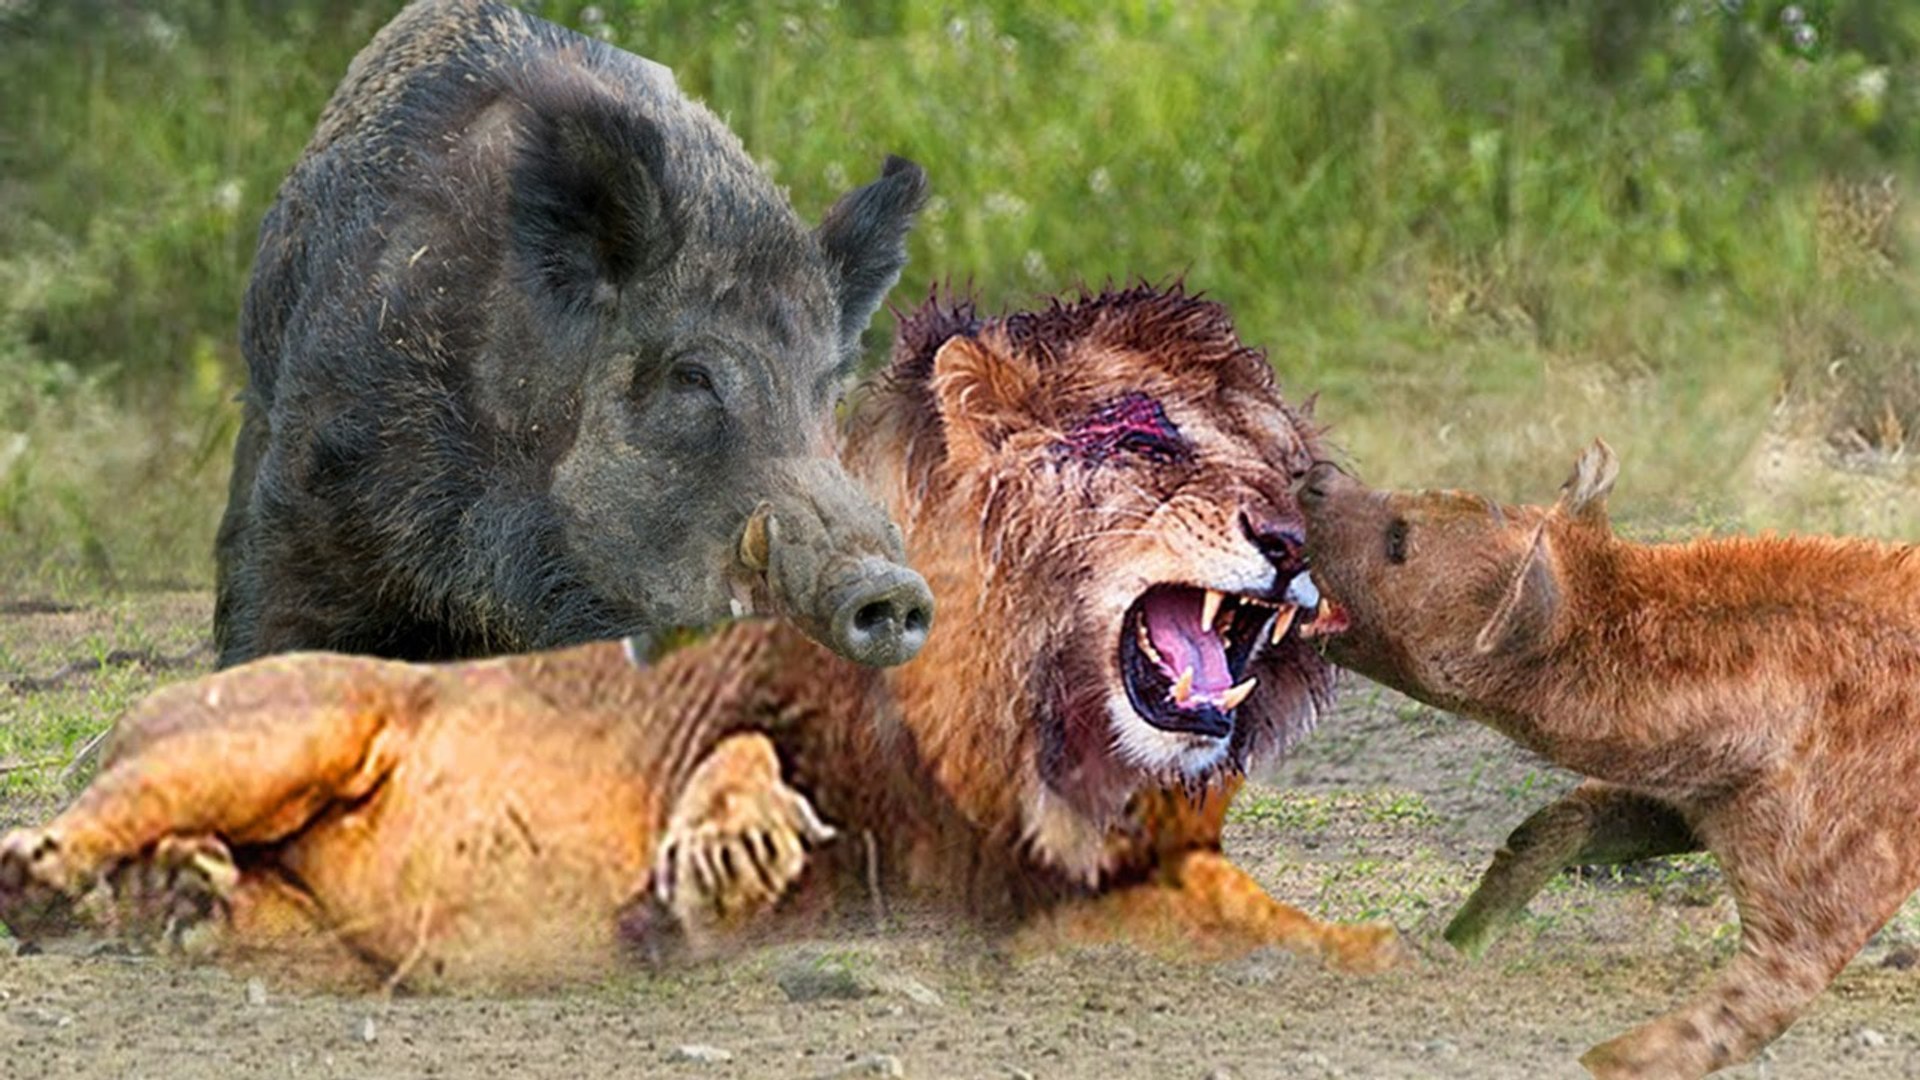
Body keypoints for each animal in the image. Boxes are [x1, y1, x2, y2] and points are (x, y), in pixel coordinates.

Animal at [0, 286, 1397, 987]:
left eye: (1290, 468)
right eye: (1148, 444)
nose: (1293, 542)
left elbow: (1274, 921)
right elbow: (746, 746)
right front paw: (729, 853)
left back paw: (187, 896)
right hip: (284, 727)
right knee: (80, 830)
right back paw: (68, 871)